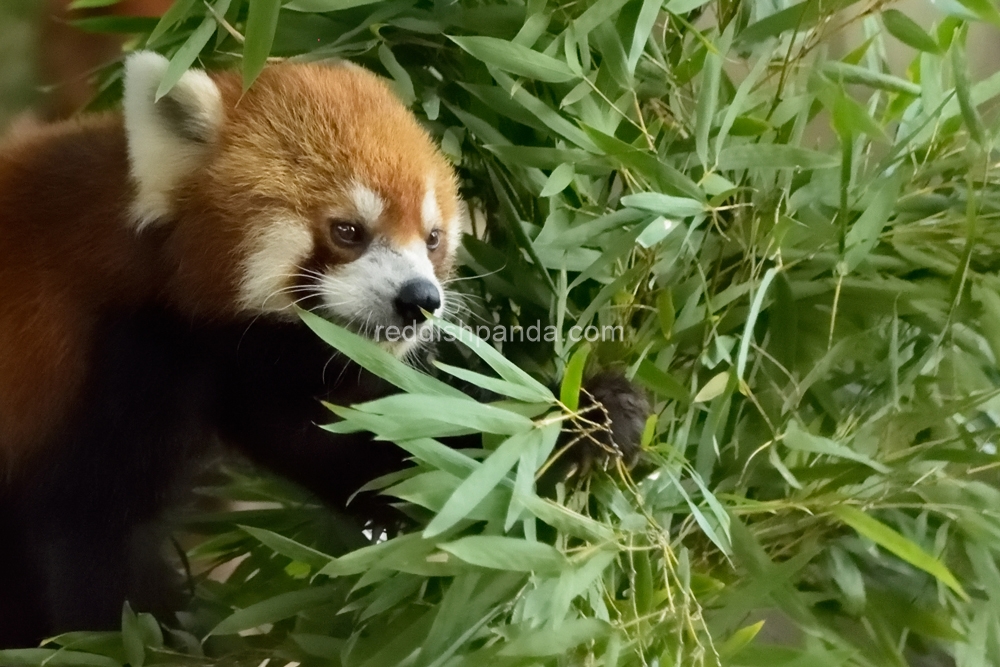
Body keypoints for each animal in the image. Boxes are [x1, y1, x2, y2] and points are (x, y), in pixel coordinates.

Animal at [0, 51, 648, 648]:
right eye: (348, 231)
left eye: (433, 238)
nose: (420, 300)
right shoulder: (120, 359)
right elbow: (90, 538)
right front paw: (149, 643)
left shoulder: (246, 369)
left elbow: (380, 451)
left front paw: (590, 414)